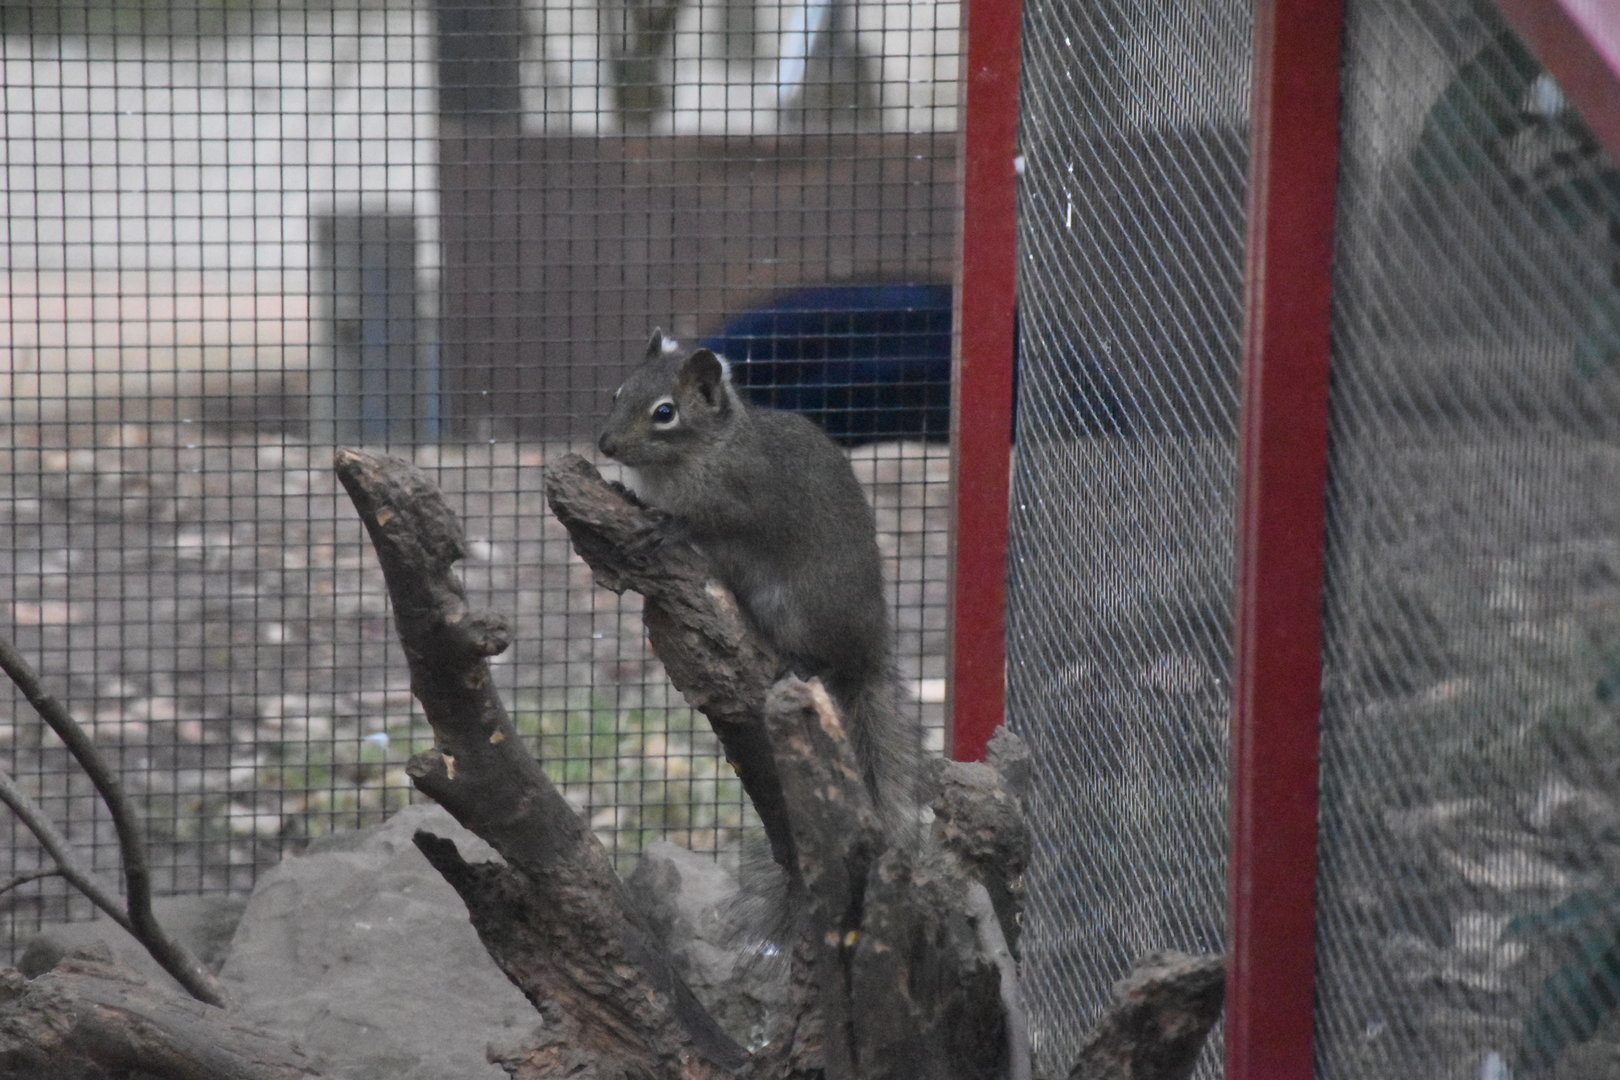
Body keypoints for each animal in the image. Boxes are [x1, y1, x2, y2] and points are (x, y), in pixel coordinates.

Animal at [597, 329, 923, 841]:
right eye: (617, 393)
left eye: (665, 413)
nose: (605, 445)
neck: (707, 448)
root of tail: (868, 650)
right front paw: (627, 494)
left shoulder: (747, 498)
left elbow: (709, 523)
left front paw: (669, 527)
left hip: (796, 609)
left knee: (823, 659)